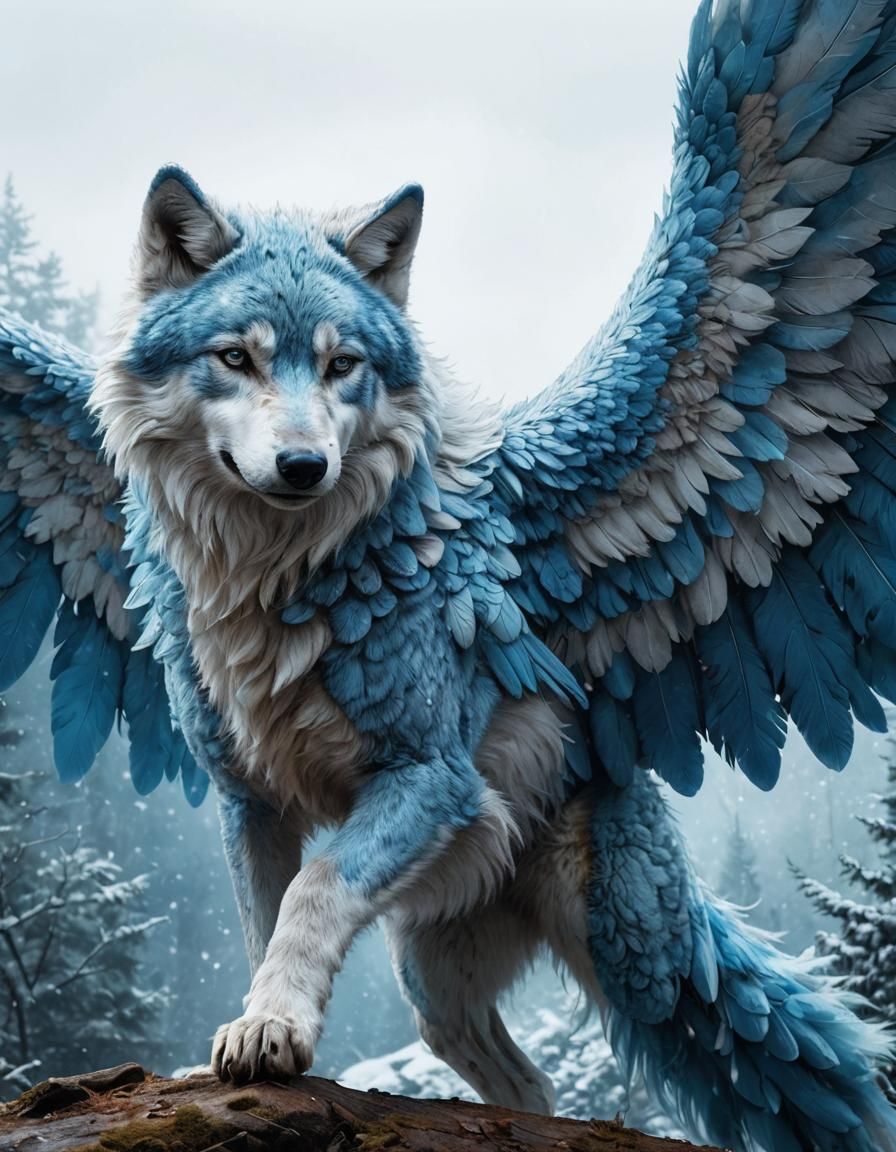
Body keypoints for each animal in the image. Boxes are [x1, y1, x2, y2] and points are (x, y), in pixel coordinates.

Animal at [3, 0, 896, 1148]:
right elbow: (267, 917)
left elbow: (316, 891)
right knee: (531, 1089)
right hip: (433, 979)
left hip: (630, 953)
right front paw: (257, 1031)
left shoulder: (426, 774)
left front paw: (272, 1030)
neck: (278, 571)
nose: (304, 465)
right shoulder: (249, 803)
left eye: (342, 365)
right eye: (237, 358)